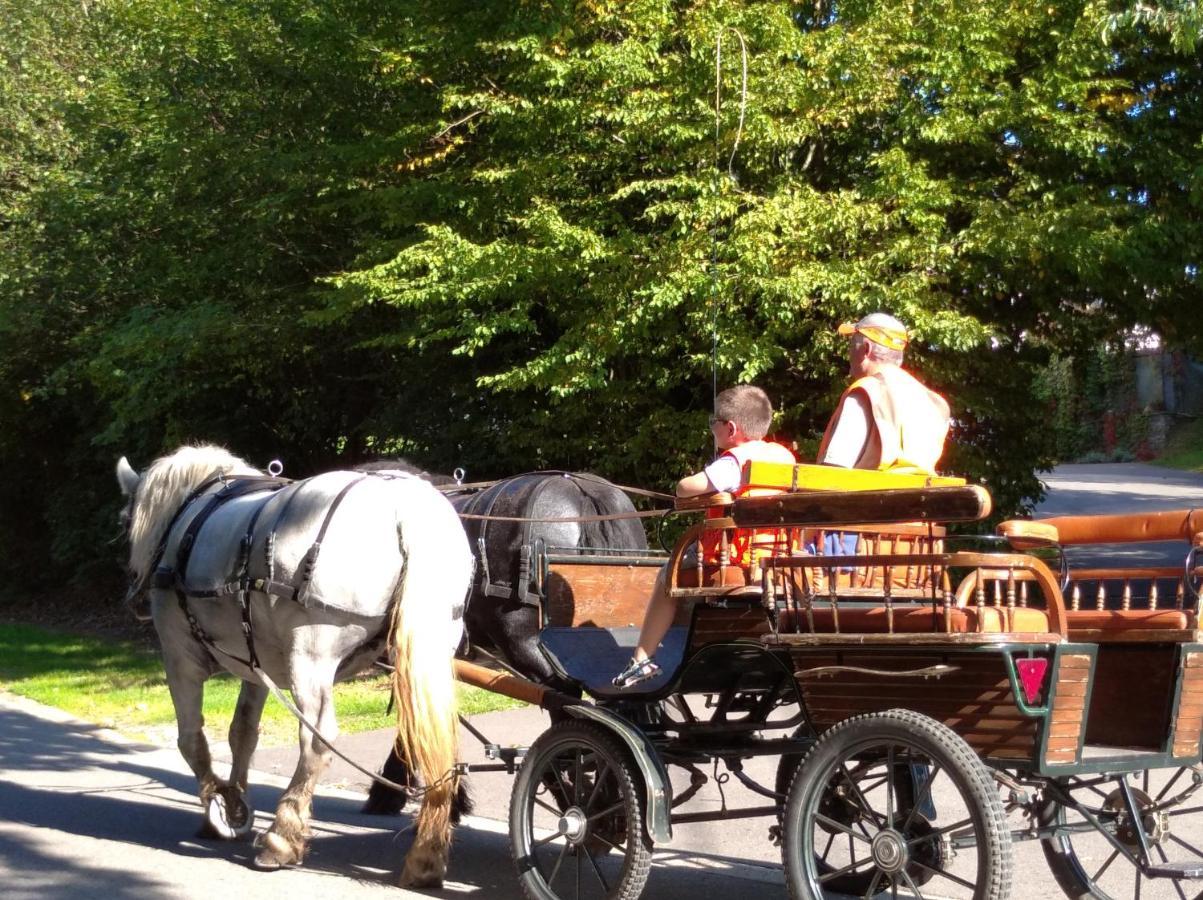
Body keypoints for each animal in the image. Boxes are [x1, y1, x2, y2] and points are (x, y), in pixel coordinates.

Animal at [116, 445, 473, 885]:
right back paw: (427, 854)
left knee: (317, 738)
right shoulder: (254, 665)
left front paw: (218, 807)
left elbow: (191, 740)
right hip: (432, 650)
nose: (133, 595)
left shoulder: (181, 658)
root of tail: (404, 509)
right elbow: (242, 734)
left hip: (312, 657)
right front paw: (235, 803)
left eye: (124, 521)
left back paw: (281, 839)